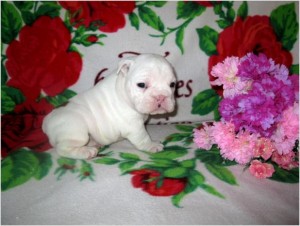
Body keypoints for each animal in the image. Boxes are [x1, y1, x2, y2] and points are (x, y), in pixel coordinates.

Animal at [43, 53, 177, 159]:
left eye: (172, 84)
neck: (122, 88)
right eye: (141, 85)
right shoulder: (134, 126)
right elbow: (143, 138)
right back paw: (86, 152)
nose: (161, 96)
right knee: (63, 148)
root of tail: (45, 123)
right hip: (76, 130)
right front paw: (152, 145)